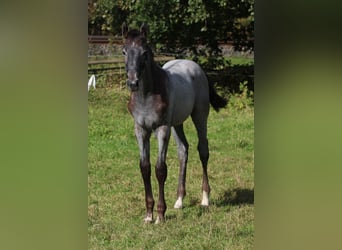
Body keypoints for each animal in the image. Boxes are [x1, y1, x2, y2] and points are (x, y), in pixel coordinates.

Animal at [121, 22, 228, 224]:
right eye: (124, 51)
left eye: (145, 52)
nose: (133, 83)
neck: (147, 96)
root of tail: (196, 66)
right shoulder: (141, 130)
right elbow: (145, 167)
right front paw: (148, 214)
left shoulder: (162, 129)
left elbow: (160, 169)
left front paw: (161, 215)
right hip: (177, 124)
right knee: (183, 150)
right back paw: (179, 200)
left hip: (199, 115)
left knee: (203, 150)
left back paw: (205, 198)